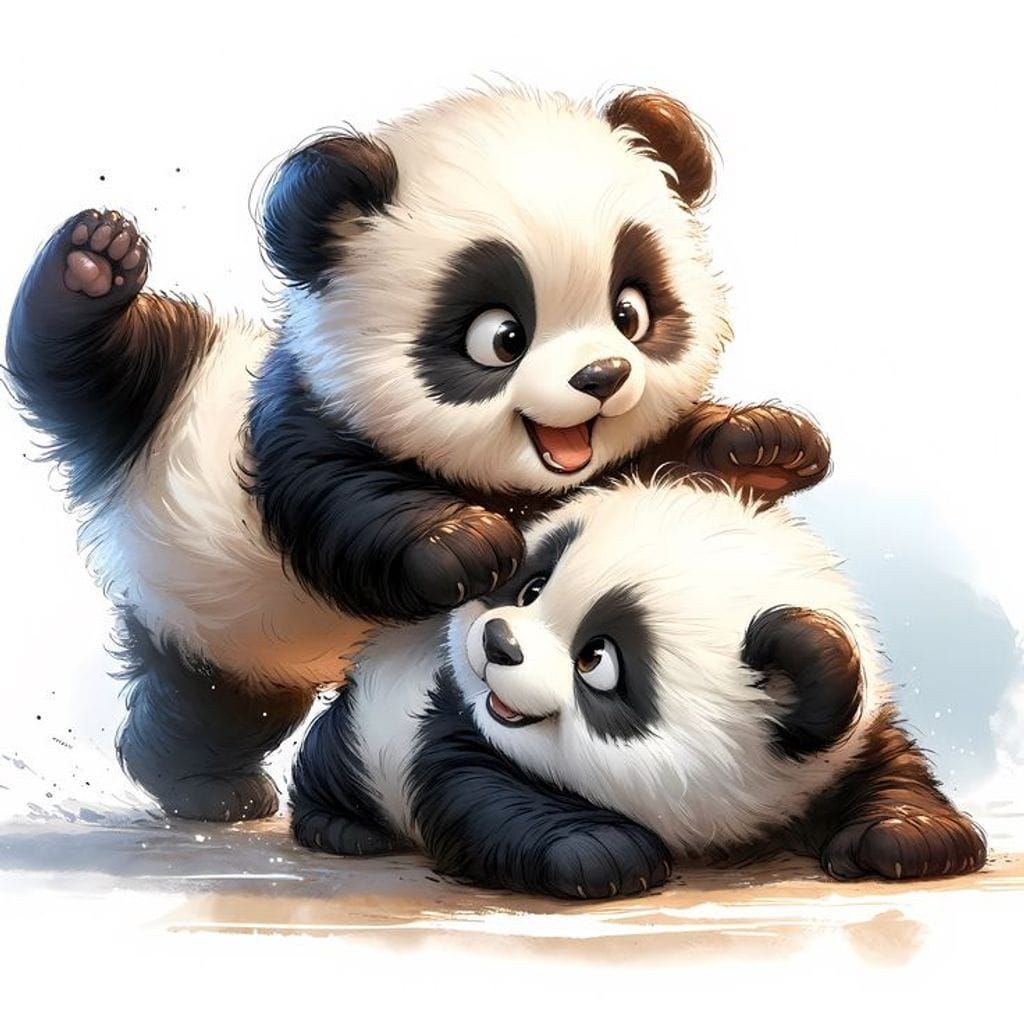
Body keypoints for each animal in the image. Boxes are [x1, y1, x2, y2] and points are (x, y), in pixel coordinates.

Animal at [5, 84, 830, 822]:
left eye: (631, 312)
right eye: (501, 336)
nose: (602, 378)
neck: (508, 481)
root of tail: (129, 464)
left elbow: (655, 468)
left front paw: (767, 444)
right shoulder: (302, 426)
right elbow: (344, 507)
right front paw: (461, 542)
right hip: (202, 568)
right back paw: (92, 266)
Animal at [291, 479, 987, 900]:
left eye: (596, 660)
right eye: (532, 589)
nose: (497, 642)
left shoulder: (842, 749)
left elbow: (889, 771)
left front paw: (909, 839)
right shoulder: (449, 718)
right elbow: (478, 789)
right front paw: (600, 850)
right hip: (368, 723)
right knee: (333, 758)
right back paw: (341, 829)